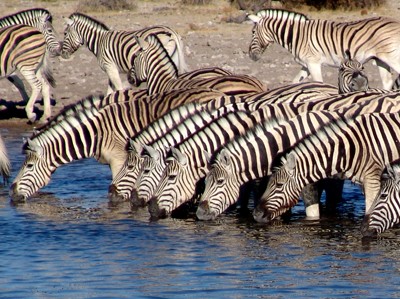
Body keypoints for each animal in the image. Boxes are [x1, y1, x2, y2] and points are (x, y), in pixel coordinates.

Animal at [248, 8, 400, 89]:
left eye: (253, 32)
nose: (250, 56)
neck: (297, 35)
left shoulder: (313, 63)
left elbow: (318, 82)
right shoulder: (306, 65)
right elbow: (295, 81)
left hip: (392, 56)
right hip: (380, 59)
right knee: (387, 81)